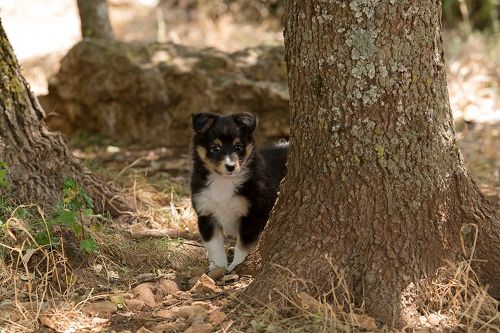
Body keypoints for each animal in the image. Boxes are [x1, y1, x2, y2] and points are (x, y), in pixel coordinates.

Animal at [189, 111, 288, 270]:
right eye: (215, 148)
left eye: (238, 147)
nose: (231, 166)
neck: (223, 181)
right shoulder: (206, 213)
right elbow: (214, 245)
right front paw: (218, 267)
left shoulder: (254, 214)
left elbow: (243, 246)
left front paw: (236, 265)